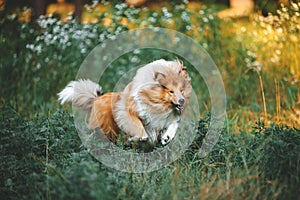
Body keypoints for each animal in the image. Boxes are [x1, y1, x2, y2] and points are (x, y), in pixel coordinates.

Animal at [58, 59, 192, 145]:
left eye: (181, 90)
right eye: (171, 91)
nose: (182, 101)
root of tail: (97, 98)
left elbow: (172, 126)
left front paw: (166, 138)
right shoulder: (130, 113)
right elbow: (139, 128)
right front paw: (138, 138)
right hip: (105, 129)